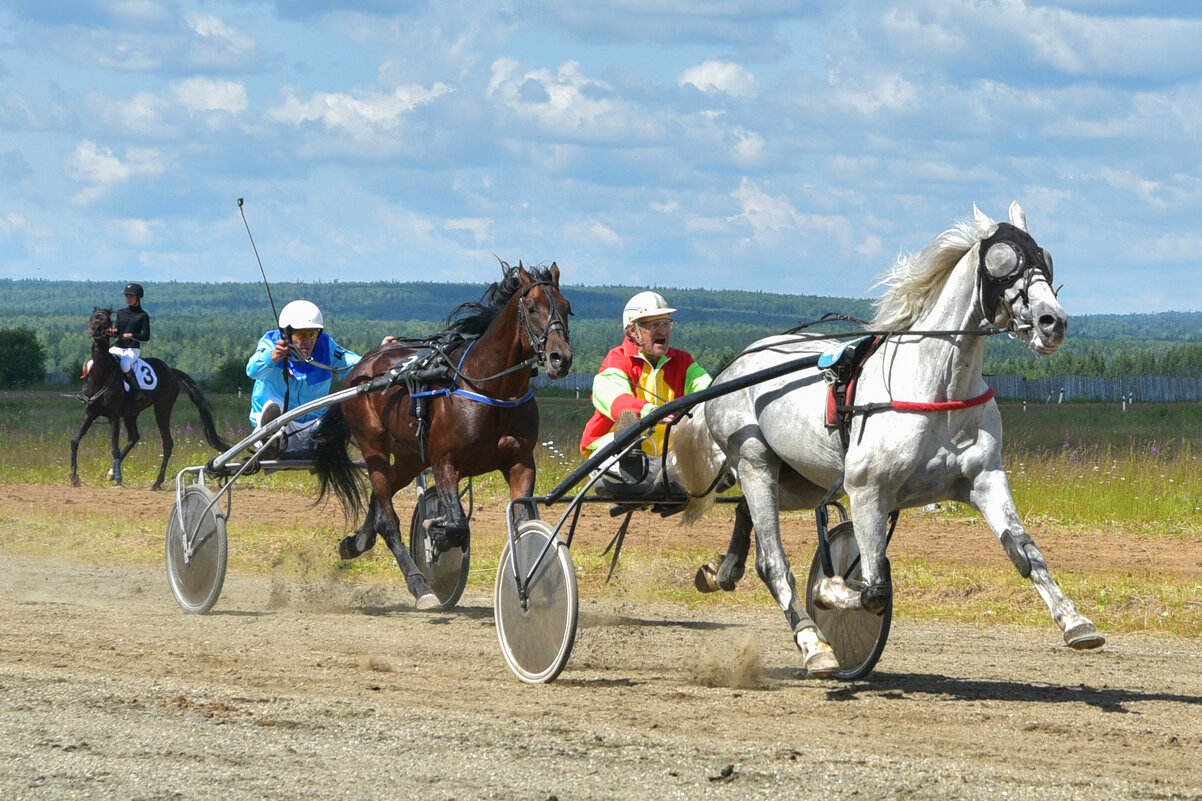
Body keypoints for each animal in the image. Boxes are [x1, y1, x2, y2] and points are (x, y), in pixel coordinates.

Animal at [72, 305, 231, 490]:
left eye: (106, 321)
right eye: (93, 318)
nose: (97, 330)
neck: (101, 376)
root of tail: (170, 371)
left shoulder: (114, 417)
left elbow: (114, 448)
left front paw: (119, 479)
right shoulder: (90, 414)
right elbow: (75, 441)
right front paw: (74, 477)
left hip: (162, 408)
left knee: (167, 443)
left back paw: (157, 482)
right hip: (131, 413)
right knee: (134, 438)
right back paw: (112, 473)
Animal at [310, 262, 572, 606]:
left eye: (567, 308)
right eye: (532, 308)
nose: (560, 358)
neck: (490, 388)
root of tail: (362, 369)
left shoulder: (521, 463)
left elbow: (523, 519)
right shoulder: (444, 462)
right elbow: (458, 526)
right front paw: (436, 533)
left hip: (409, 458)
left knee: (380, 498)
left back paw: (357, 542)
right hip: (373, 445)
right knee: (387, 517)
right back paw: (420, 585)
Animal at [673, 200, 1101, 673]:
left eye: (1045, 258)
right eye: (1003, 261)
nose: (1052, 322)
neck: (936, 386)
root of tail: (731, 368)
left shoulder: (985, 478)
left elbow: (1026, 551)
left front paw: (1076, 622)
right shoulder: (866, 489)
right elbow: (872, 588)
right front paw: (830, 590)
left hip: (801, 480)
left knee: (745, 514)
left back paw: (721, 571)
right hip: (754, 462)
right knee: (772, 561)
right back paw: (813, 643)